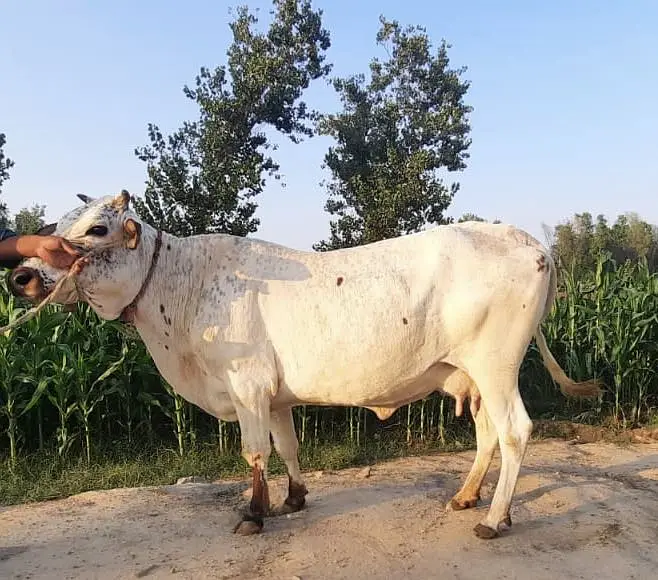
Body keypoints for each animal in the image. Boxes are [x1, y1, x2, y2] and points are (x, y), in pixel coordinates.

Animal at [8, 191, 602, 539]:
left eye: (97, 229)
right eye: (57, 225)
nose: (23, 277)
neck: (181, 288)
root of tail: (531, 242)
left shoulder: (246, 385)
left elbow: (254, 451)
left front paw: (253, 513)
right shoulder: (273, 394)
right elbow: (287, 445)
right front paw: (293, 499)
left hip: (496, 365)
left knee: (515, 431)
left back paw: (494, 518)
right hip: (472, 375)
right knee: (487, 434)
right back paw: (466, 496)